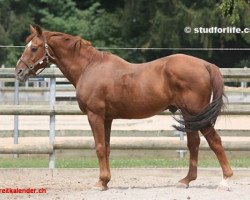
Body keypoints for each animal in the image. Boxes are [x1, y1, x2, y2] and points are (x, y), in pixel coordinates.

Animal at [15, 25, 233, 190]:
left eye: (34, 48)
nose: (19, 71)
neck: (89, 67)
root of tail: (205, 64)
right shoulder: (107, 118)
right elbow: (107, 147)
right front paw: (105, 181)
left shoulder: (95, 115)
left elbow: (99, 147)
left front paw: (100, 183)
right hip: (189, 115)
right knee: (194, 143)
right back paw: (186, 180)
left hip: (196, 113)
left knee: (215, 141)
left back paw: (225, 180)